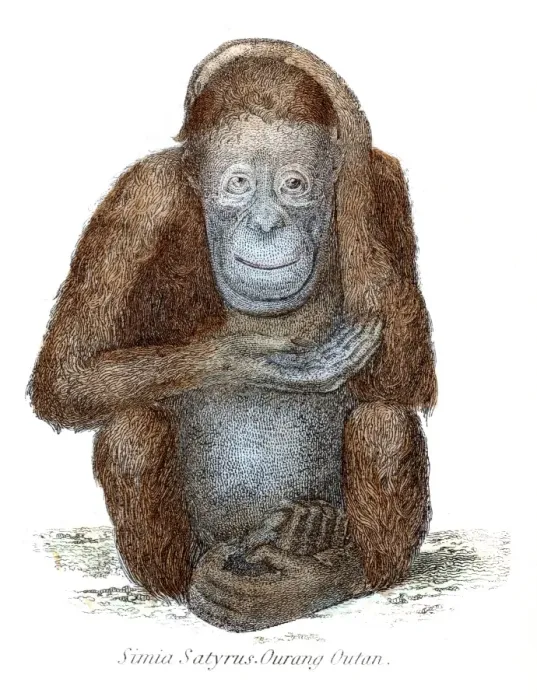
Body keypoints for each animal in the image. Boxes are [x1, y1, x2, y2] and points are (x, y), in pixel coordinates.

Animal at [28, 39, 437, 632]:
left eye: (295, 185)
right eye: (238, 184)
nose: (266, 224)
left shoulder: (389, 187)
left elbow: (409, 373)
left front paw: (353, 158)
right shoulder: (140, 200)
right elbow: (65, 373)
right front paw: (253, 357)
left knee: (384, 423)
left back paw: (329, 565)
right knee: (130, 432)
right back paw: (192, 585)